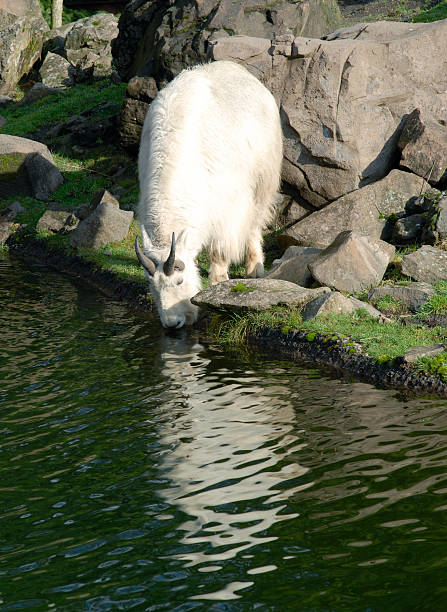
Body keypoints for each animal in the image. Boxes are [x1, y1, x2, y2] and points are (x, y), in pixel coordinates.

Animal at [136, 61, 284, 330]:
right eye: (152, 286)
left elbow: (219, 247)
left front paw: (217, 285)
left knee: (255, 221)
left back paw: (254, 267)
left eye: (180, 281)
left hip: (263, 179)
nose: (174, 324)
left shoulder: (224, 206)